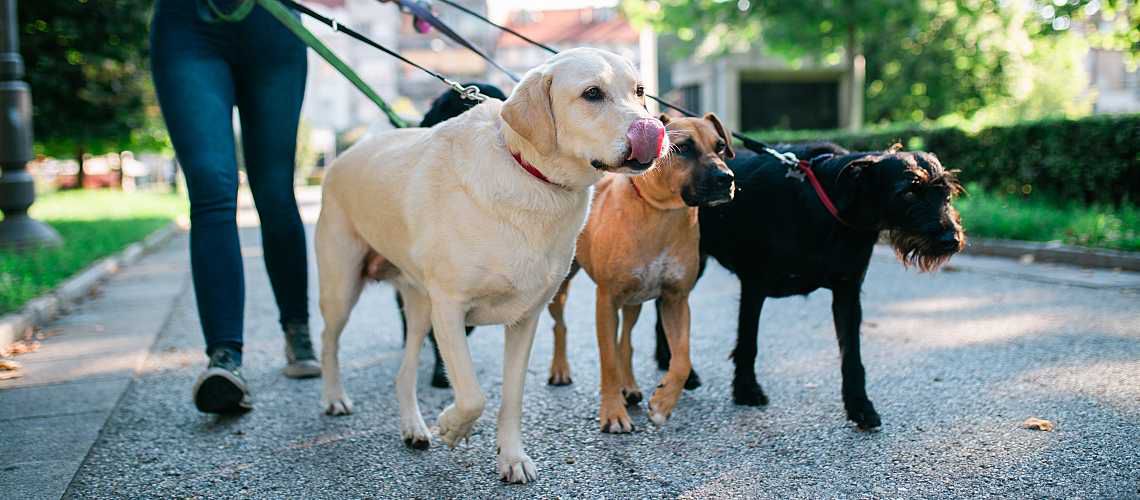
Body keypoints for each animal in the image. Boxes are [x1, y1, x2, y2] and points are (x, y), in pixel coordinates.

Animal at [544, 113, 738, 435]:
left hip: (634, 300)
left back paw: (630, 386)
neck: (661, 213)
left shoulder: (676, 299)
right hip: (561, 288)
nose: (727, 178)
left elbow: (681, 359)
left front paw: (662, 404)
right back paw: (560, 370)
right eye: (684, 148)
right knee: (561, 326)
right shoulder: (606, 300)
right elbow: (607, 361)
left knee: (626, 341)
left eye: (721, 146)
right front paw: (612, 414)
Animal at [661, 141, 962, 430]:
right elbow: (748, 342)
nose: (952, 239)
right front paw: (746, 390)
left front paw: (860, 406)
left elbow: (852, 357)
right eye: (908, 192)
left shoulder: (847, 293)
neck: (830, 205)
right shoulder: (753, 286)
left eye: (946, 194)